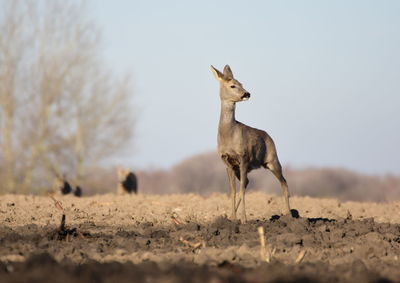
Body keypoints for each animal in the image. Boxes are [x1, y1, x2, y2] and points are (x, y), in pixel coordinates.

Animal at [209, 64, 290, 224]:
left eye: (242, 83)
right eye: (233, 85)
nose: (247, 93)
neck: (228, 135)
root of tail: (269, 136)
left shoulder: (244, 157)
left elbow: (240, 190)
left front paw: (244, 220)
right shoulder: (227, 162)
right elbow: (233, 191)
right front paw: (233, 218)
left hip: (272, 159)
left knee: (284, 183)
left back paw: (290, 216)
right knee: (247, 182)